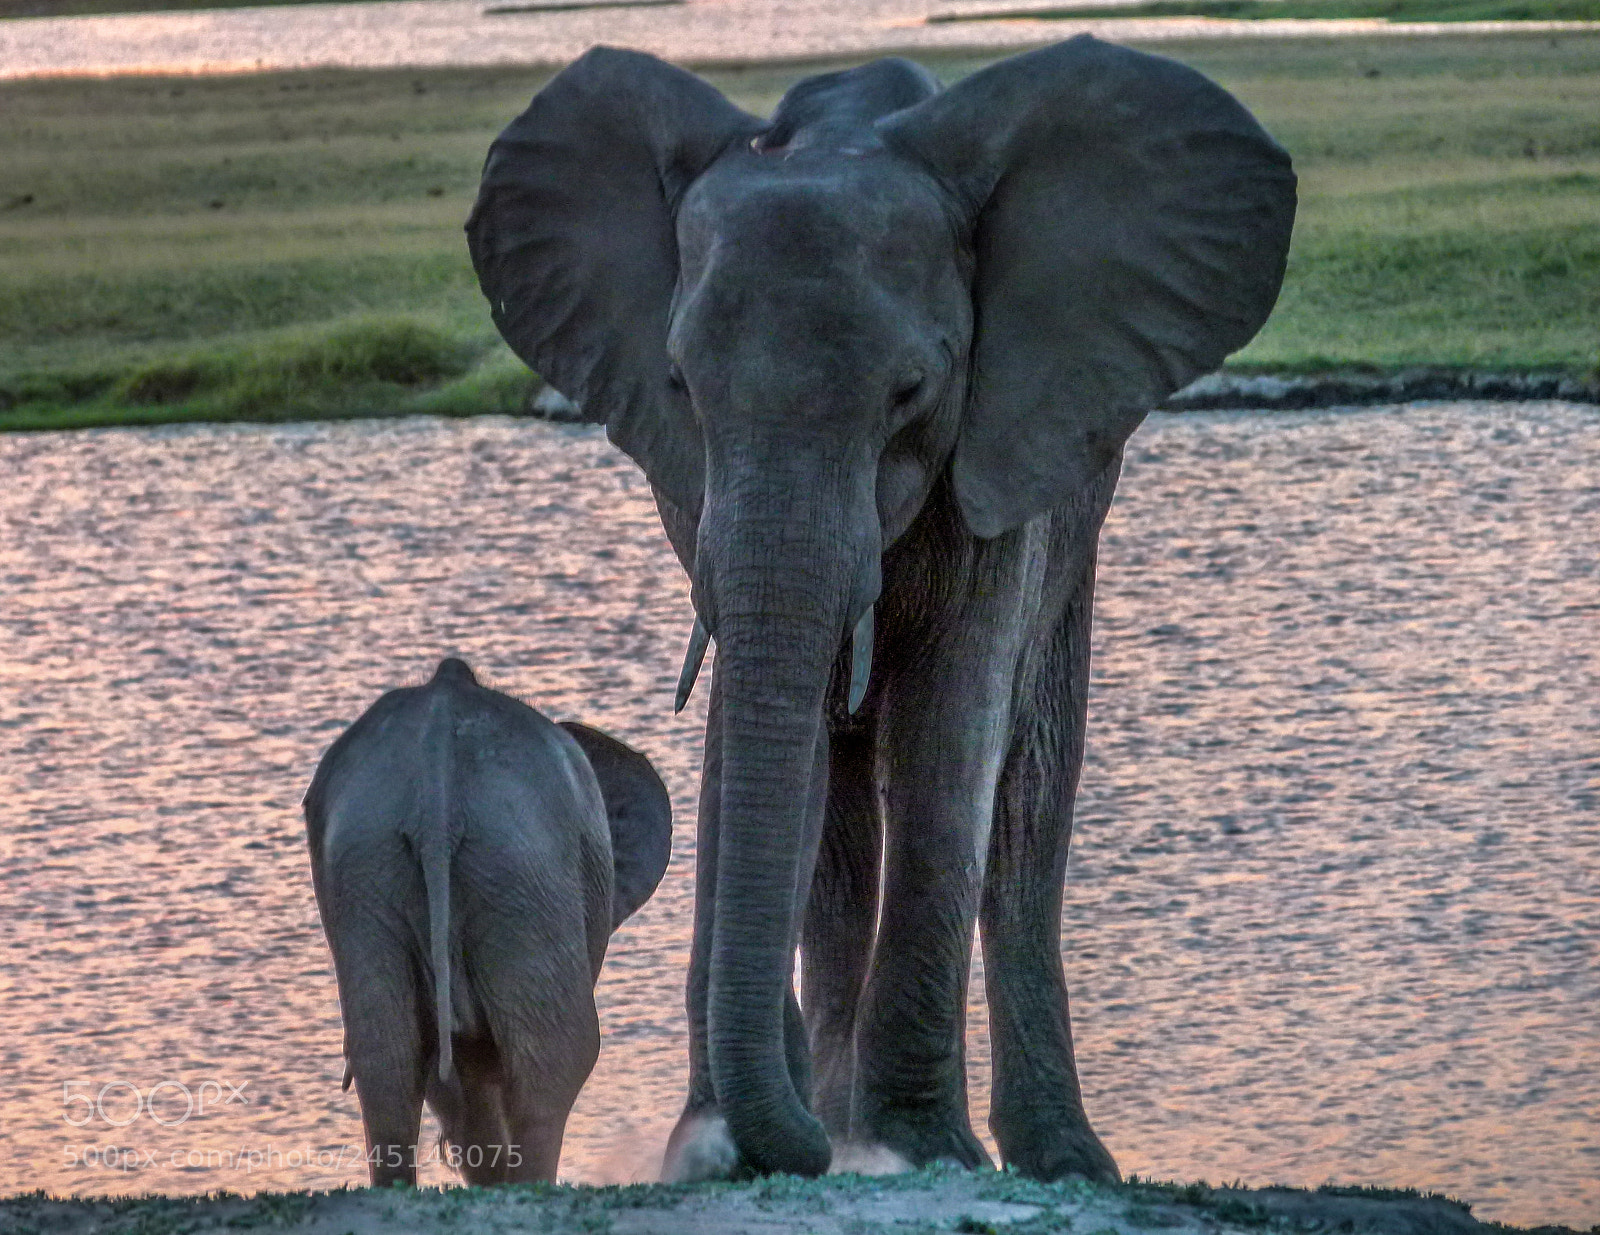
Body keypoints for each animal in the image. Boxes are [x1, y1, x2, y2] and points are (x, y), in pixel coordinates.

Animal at [464, 33, 1286, 1183]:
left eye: (909, 394)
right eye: (679, 384)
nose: (784, 1142)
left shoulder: (1004, 436)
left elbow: (953, 727)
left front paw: (910, 1147)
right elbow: (772, 745)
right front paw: (728, 1147)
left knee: (1026, 791)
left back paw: (1039, 1156)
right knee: (845, 825)